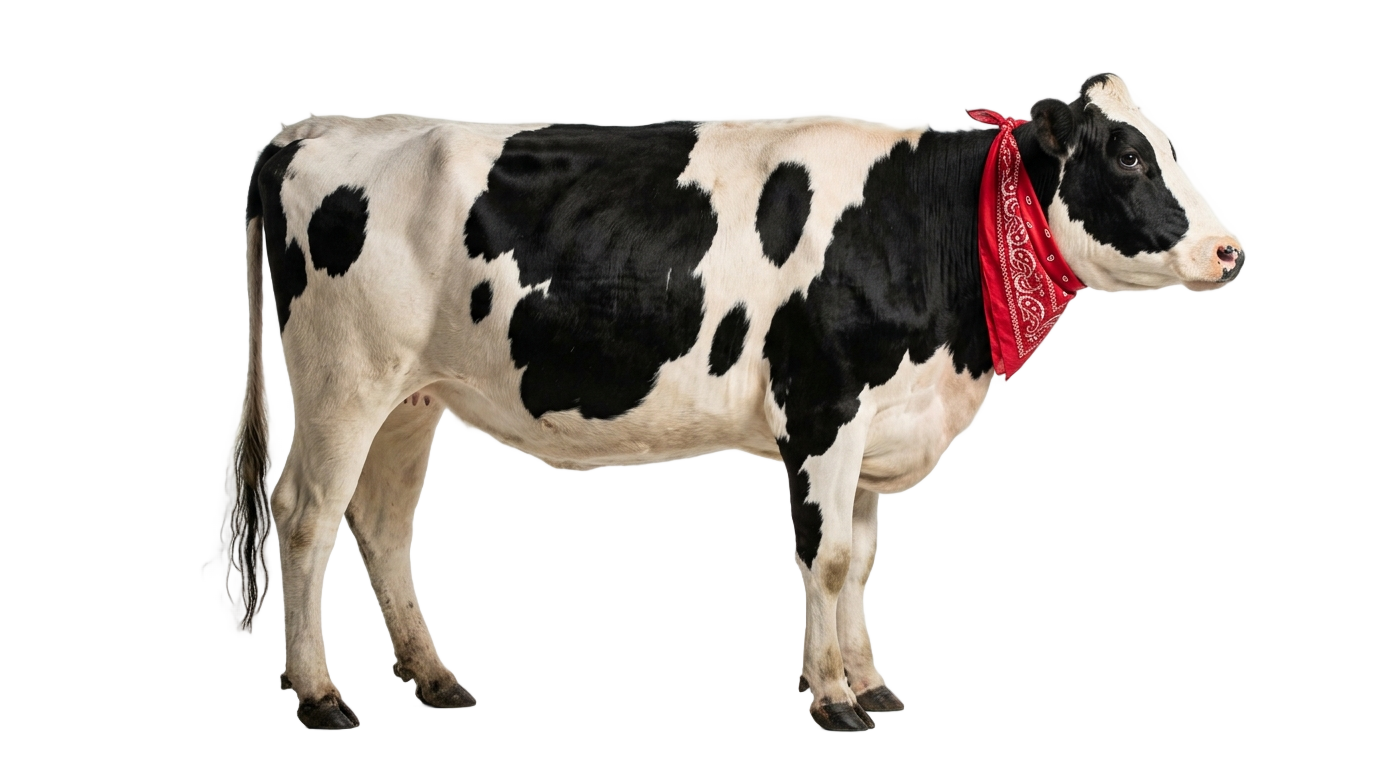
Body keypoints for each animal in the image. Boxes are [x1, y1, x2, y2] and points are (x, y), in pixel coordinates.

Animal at [228, 74, 1248, 731]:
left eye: (1167, 145)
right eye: (1126, 154)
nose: (1228, 249)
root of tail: (312, 133)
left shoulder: (875, 424)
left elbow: (858, 558)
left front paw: (869, 685)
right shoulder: (824, 409)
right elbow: (825, 559)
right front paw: (832, 701)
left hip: (412, 397)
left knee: (378, 521)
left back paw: (433, 679)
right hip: (341, 381)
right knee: (305, 515)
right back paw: (315, 694)